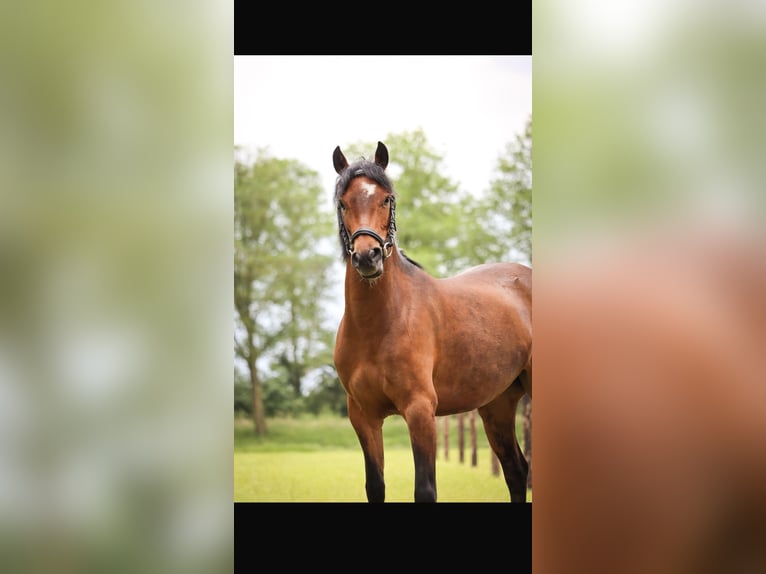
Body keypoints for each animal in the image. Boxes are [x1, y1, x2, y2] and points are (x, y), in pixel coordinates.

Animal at [330, 142, 536, 502]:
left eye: (387, 198)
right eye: (343, 202)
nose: (368, 257)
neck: (379, 325)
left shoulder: (420, 411)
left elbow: (425, 489)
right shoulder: (363, 416)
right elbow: (375, 486)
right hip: (497, 405)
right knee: (515, 470)